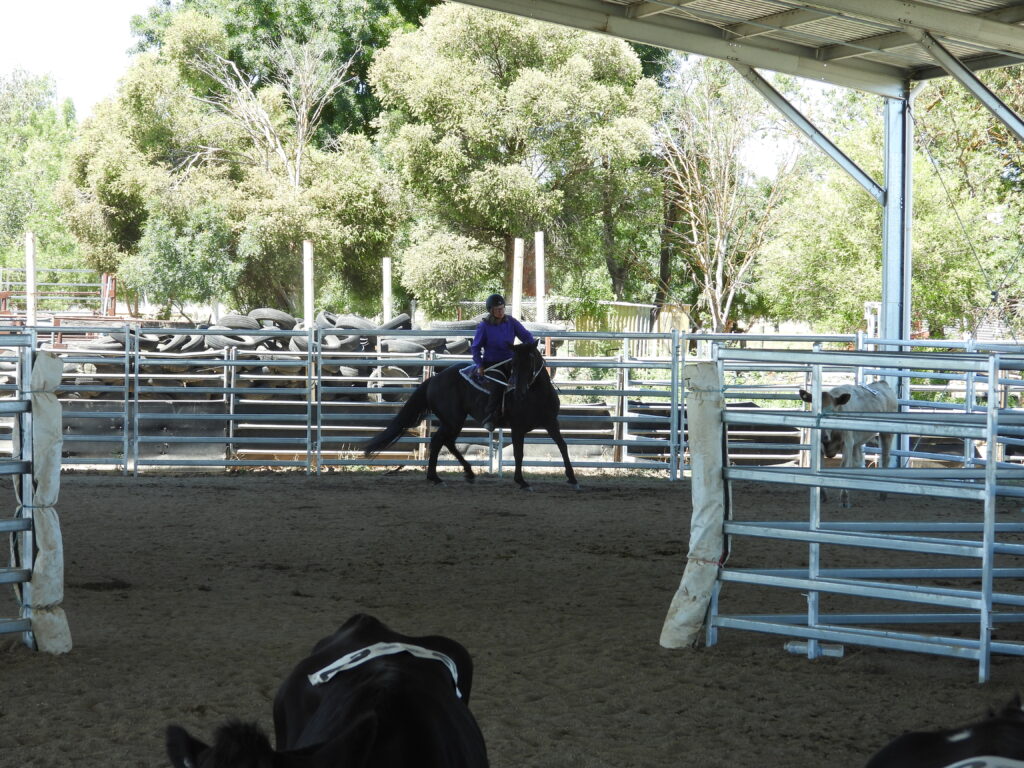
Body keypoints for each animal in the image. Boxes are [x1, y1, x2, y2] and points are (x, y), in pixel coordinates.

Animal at [364, 342, 581, 493]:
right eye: (514, 364)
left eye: (531, 361)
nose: (519, 391)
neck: (536, 396)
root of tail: (434, 379)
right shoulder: (518, 428)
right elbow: (519, 454)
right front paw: (522, 481)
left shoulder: (551, 423)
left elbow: (563, 446)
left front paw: (572, 479)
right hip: (453, 420)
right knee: (438, 441)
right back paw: (436, 477)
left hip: (453, 421)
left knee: (446, 442)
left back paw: (464, 473)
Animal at [798, 380, 897, 512]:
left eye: (832, 411)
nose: (823, 436)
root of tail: (883, 383)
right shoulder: (820, 448)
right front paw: (822, 496)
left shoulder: (847, 444)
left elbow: (843, 467)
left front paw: (844, 500)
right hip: (857, 443)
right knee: (857, 461)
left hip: (886, 434)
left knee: (885, 458)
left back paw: (882, 494)